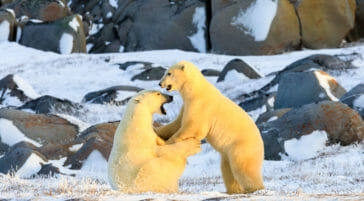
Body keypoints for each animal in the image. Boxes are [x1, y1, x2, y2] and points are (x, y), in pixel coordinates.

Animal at [156, 61, 264, 195]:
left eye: (169, 73)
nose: (160, 83)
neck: (195, 90)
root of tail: (261, 143)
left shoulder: (200, 106)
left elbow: (193, 127)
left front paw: (167, 142)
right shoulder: (186, 106)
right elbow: (177, 123)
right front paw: (157, 130)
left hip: (241, 147)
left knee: (243, 168)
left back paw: (255, 189)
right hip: (227, 153)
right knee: (227, 169)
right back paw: (233, 190)